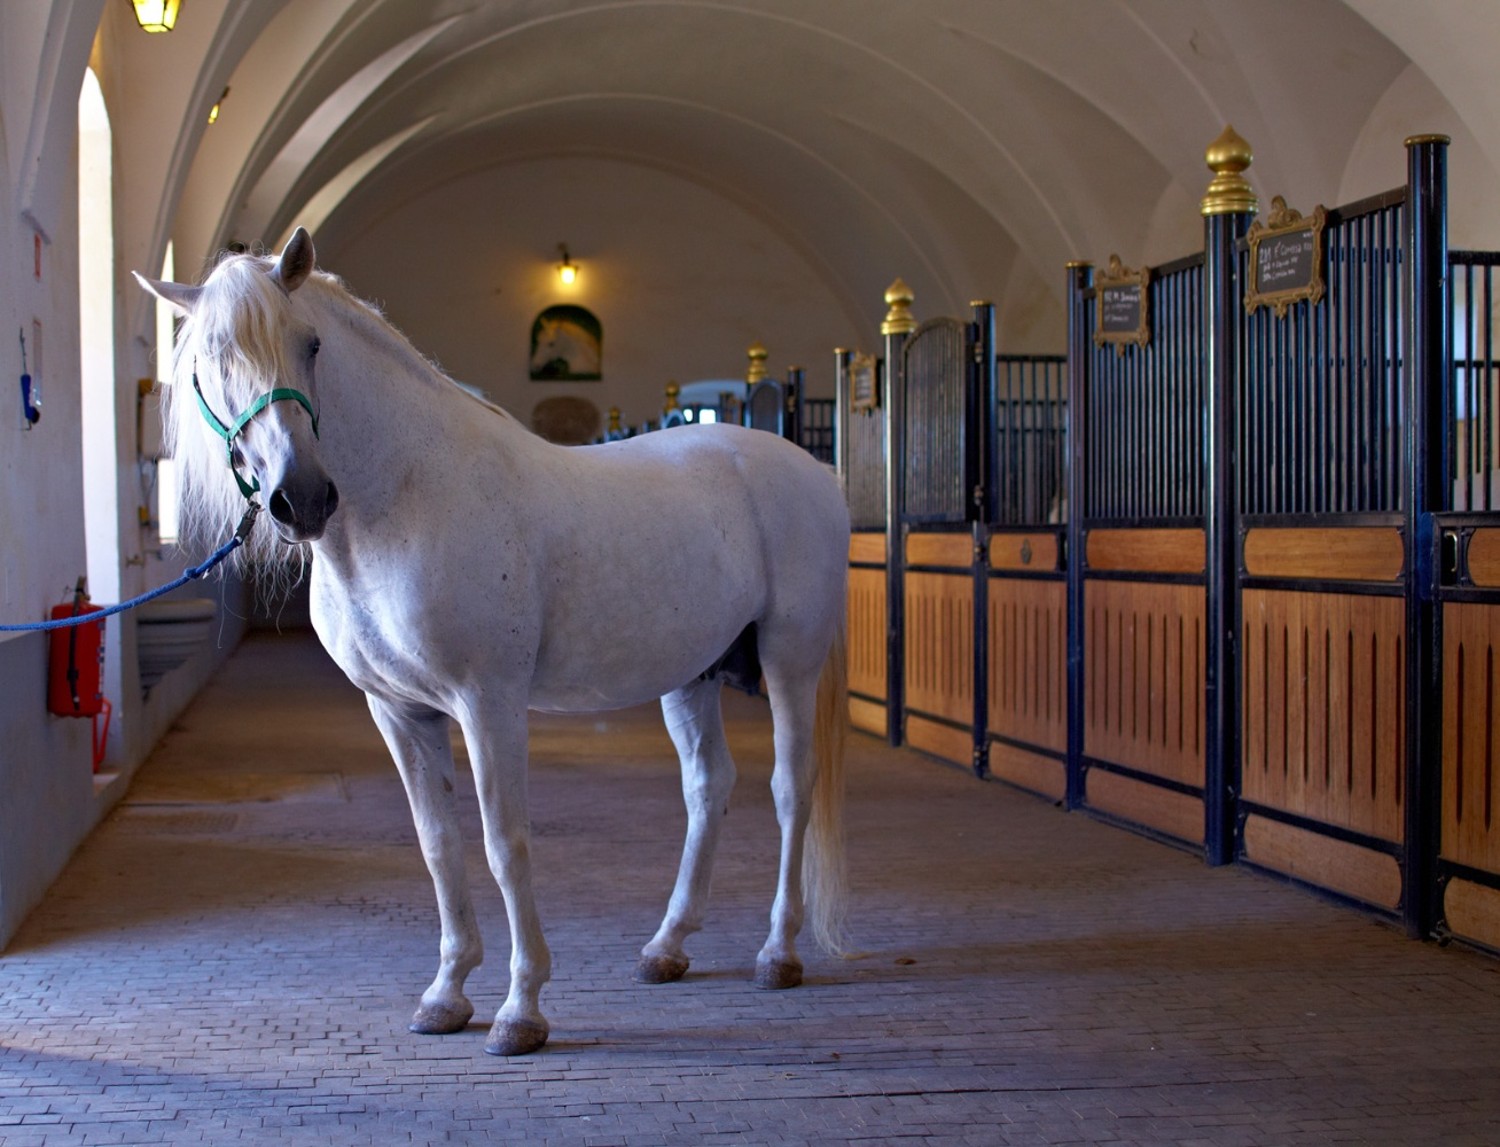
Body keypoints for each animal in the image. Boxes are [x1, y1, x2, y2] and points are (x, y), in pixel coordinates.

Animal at [136, 227, 852, 1049]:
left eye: (311, 344)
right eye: (210, 359)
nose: (303, 498)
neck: (409, 499)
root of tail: (814, 471)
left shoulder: (489, 705)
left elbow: (504, 842)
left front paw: (520, 1008)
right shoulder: (398, 712)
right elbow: (439, 845)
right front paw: (446, 994)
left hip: (790, 663)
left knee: (791, 788)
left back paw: (778, 953)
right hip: (690, 674)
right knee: (709, 787)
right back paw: (667, 947)